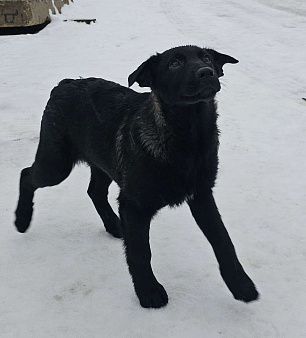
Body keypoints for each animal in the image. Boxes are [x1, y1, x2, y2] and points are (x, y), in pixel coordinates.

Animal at [14, 45, 258, 308]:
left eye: (206, 58)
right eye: (174, 64)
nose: (206, 72)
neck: (187, 140)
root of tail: (65, 83)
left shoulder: (201, 195)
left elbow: (223, 240)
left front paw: (241, 284)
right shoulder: (133, 205)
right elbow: (141, 252)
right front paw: (148, 291)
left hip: (102, 162)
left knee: (94, 191)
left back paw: (113, 225)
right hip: (56, 164)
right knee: (26, 174)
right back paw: (22, 219)